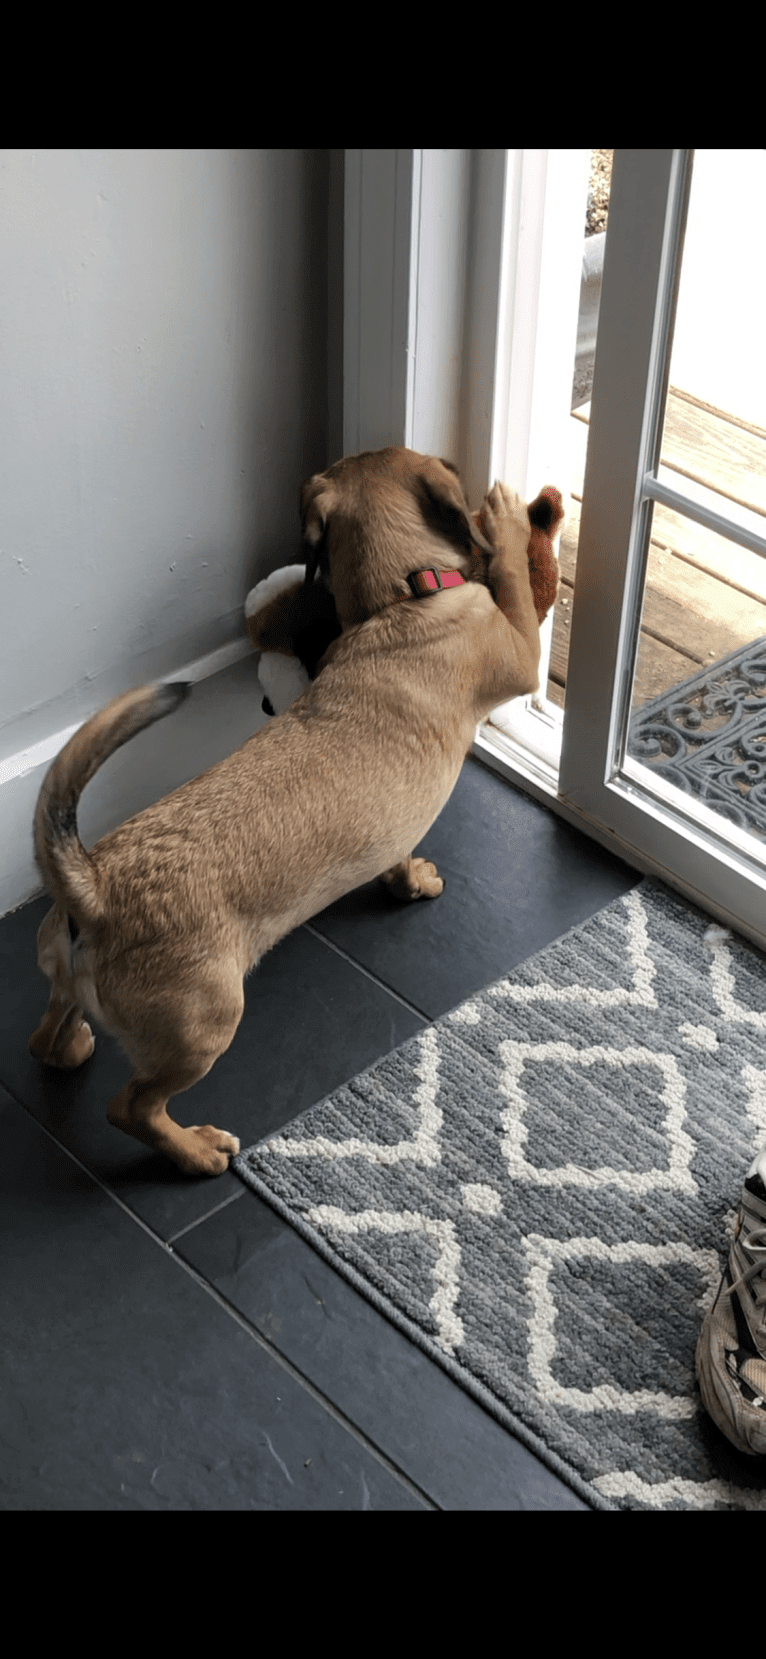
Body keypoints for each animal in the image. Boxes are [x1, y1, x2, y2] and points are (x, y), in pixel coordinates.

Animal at [31, 451, 557, 1181]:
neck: (403, 599)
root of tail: (94, 889)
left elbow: (396, 854)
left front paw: (408, 880)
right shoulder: (519, 651)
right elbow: (512, 584)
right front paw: (507, 521)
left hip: (68, 983)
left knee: (46, 1036)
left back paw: (72, 1045)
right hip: (204, 1027)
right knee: (131, 1107)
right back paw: (196, 1150)